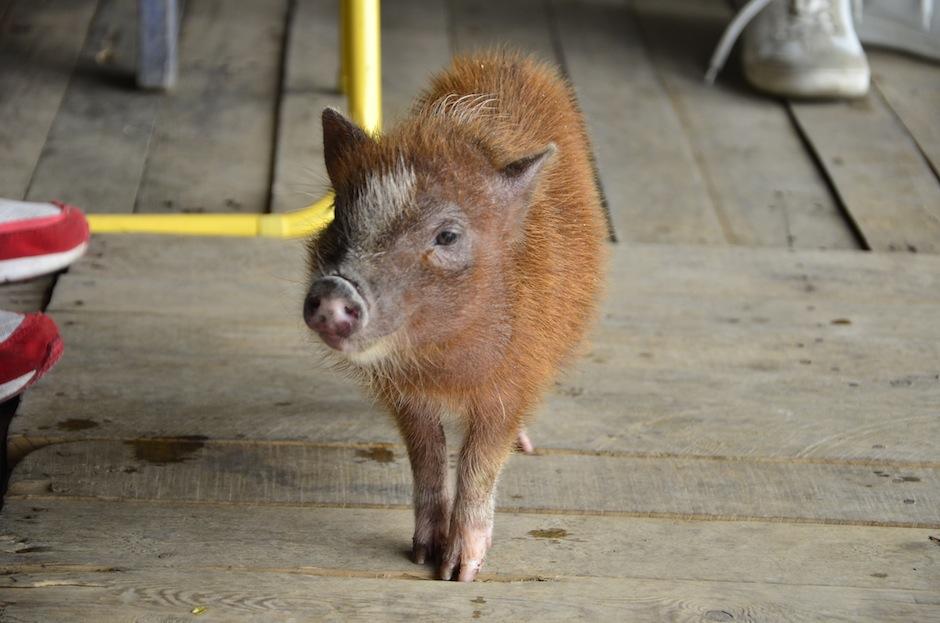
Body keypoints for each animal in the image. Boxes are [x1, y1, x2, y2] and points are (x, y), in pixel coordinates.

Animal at [303, 51, 607, 581]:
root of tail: (510, 58)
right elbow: (426, 457)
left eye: (447, 236)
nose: (334, 289)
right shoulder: (405, 395)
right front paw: (423, 556)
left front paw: (458, 574)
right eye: (340, 212)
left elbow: (479, 463)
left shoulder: (515, 380)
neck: (443, 367)